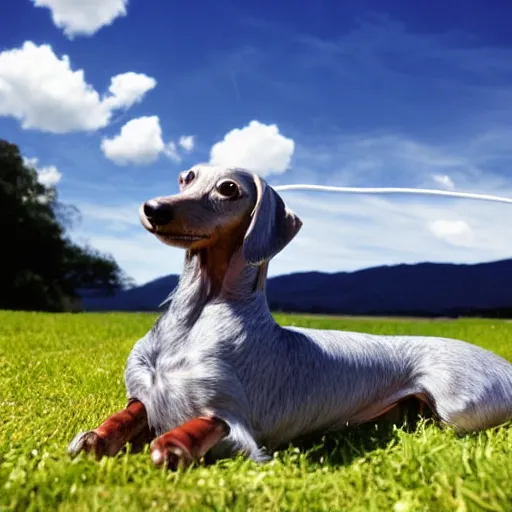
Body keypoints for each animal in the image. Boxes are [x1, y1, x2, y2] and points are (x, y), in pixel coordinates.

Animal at [70, 166, 512, 470]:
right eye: (187, 177)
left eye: (228, 188)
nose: (153, 208)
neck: (193, 321)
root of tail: (502, 363)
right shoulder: (145, 394)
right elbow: (124, 415)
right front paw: (94, 437)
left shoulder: (233, 416)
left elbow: (201, 427)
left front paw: (171, 446)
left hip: (458, 409)